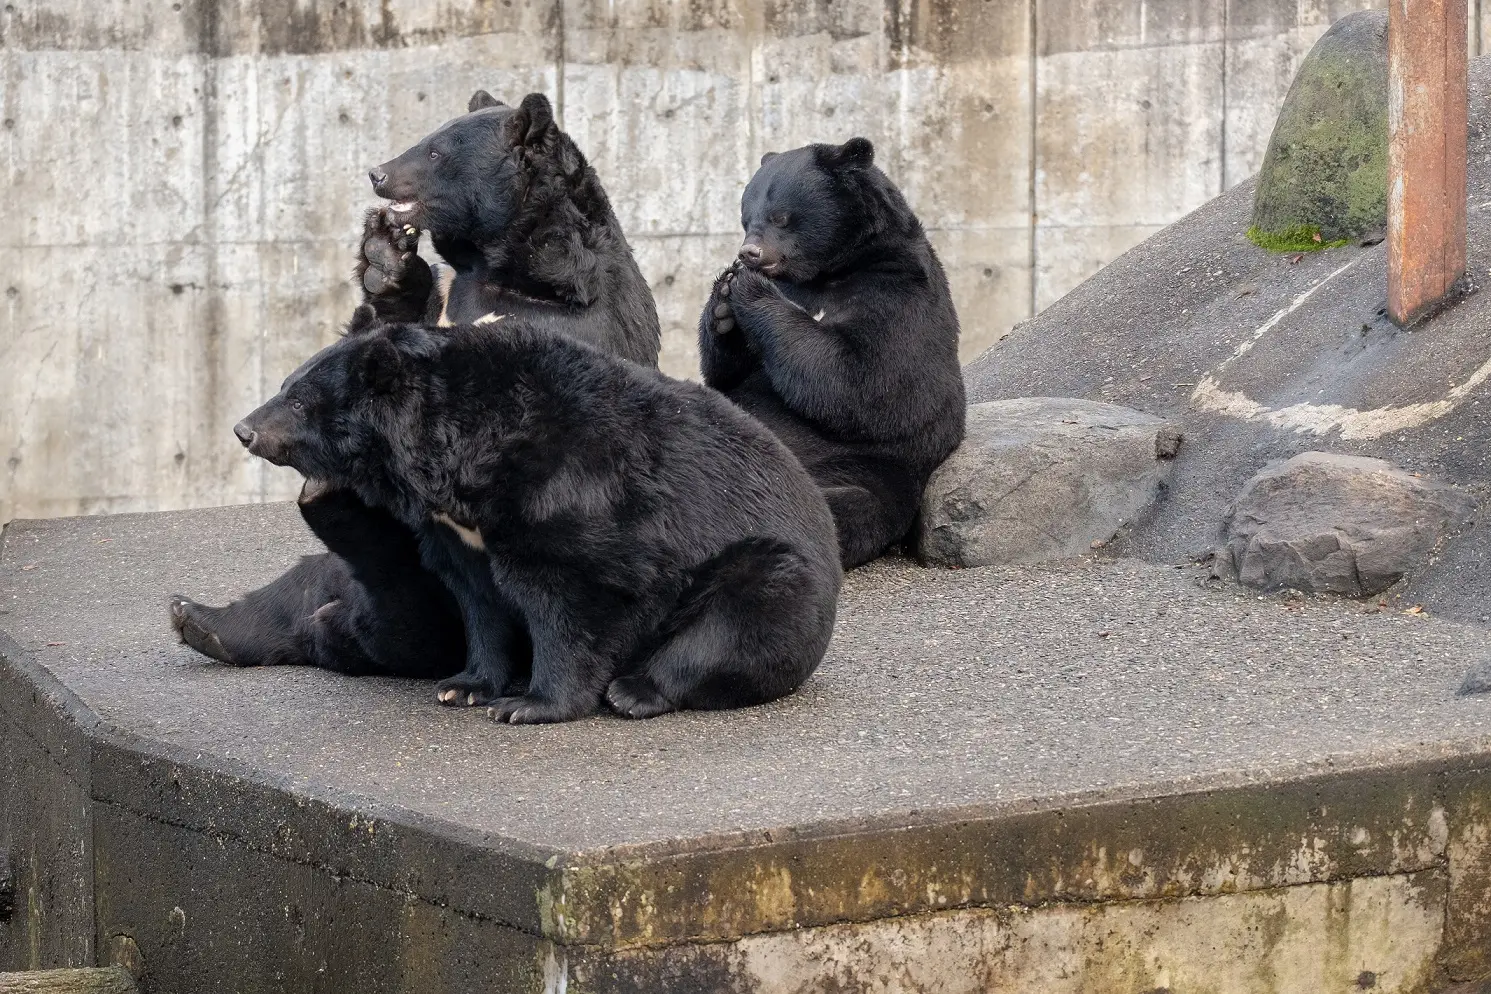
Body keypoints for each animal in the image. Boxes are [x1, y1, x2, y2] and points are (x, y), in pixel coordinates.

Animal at [169, 91, 659, 691]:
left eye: (434, 151)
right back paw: (203, 621)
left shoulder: (571, 316)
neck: (502, 268)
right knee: (300, 589)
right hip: (328, 586)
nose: (378, 173)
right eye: (426, 137)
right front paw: (386, 258)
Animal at [229, 308, 840, 724]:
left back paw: (635, 690)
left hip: (771, 575)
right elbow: (479, 599)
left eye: (299, 401)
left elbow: (570, 597)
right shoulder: (458, 532)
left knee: (732, 626)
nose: (243, 429)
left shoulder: (568, 493)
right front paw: (465, 685)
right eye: (284, 385)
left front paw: (529, 704)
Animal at [697, 139, 966, 566]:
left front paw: (749, 289)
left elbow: (861, 380)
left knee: (845, 505)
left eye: (781, 217)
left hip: (863, 469)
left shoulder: (897, 290)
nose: (749, 253)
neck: (831, 270)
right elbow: (727, 372)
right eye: (745, 218)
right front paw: (723, 301)